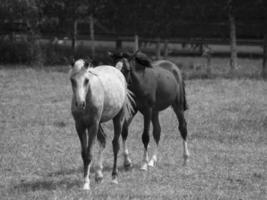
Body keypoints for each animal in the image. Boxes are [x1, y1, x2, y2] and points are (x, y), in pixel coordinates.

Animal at [69, 58, 135, 190]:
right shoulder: (80, 126)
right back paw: (99, 175)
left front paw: (86, 184)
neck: (88, 98)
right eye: (72, 80)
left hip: (117, 118)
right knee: (103, 140)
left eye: (86, 80)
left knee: (115, 144)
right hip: (99, 124)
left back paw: (114, 177)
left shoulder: (93, 126)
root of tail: (117, 70)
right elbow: (84, 154)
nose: (80, 104)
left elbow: (89, 154)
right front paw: (86, 180)